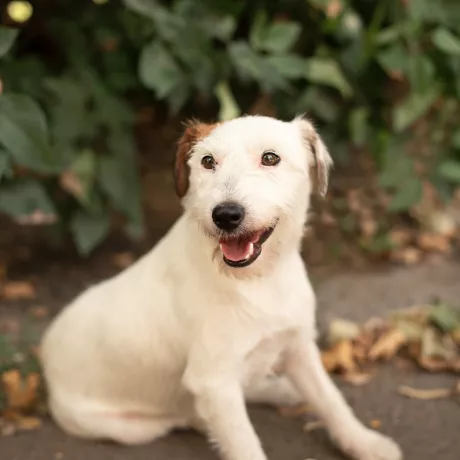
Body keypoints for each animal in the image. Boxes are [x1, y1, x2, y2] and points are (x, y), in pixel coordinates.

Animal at [41, 115, 402, 460]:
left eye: (270, 158)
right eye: (207, 161)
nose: (226, 215)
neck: (258, 280)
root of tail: (45, 353)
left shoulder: (298, 345)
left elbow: (330, 399)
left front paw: (364, 443)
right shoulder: (213, 382)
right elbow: (244, 444)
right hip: (131, 428)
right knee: (188, 417)